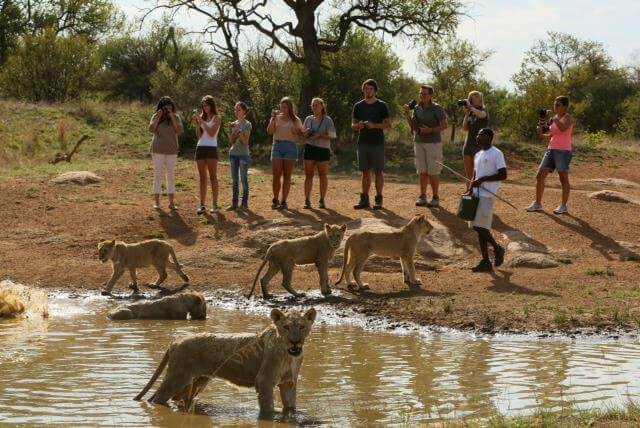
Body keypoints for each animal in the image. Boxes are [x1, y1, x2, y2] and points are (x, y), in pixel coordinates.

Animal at [134, 307, 317, 414]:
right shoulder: (264, 381)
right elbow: (268, 410)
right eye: (286, 327)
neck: (289, 355)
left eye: (301, 327)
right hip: (177, 377)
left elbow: (291, 407)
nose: (295, 341)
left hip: (197, 380)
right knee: (157, 398)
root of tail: (175, 341)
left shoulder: (288, 383)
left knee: (178, 398)